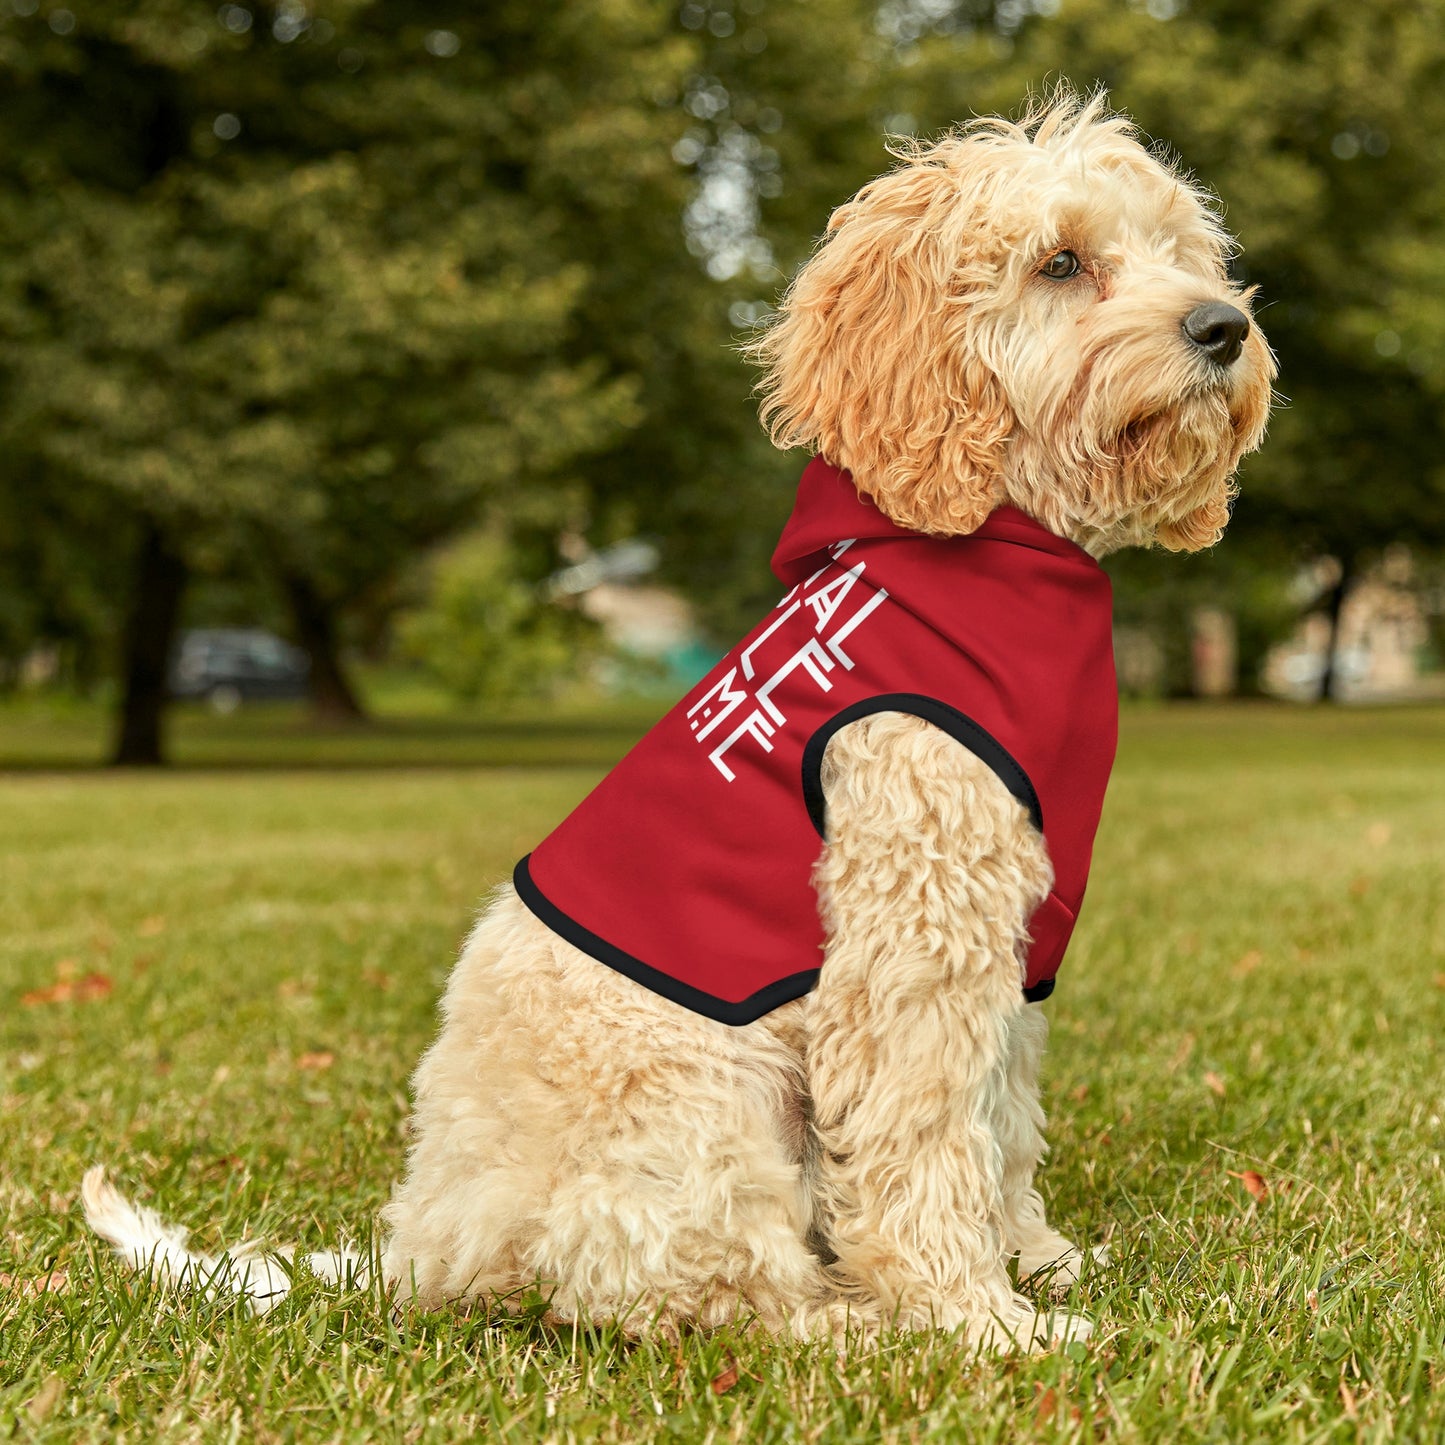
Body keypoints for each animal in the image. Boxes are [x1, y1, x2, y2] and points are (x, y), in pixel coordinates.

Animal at [84, 93, 1271, 1352]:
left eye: (1180, 252)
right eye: (1059, 262)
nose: (1222, 327)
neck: (993, 547)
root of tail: (424, 1245)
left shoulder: (1011, 943)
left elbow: (999, 1120)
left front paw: (1034, 1259)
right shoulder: (912, 936)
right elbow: (924, 1138)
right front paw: (976, 1318)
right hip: (705, 1102)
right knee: (699, 1291)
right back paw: (852, 1322)